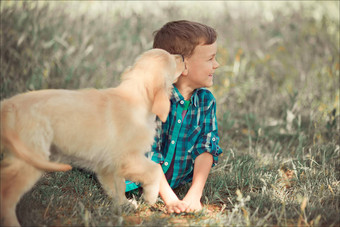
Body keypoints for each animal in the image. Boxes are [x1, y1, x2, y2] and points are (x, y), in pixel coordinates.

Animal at [0, 48, 186, 226]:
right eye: (172, 59)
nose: (183, 57)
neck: (136, 98)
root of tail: (8, 105)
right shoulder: (126, 158)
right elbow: (154, 169)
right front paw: (151, 196)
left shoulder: (108, 165)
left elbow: (118, 186)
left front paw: (124, 204)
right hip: (29, 158)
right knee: (6, 195)